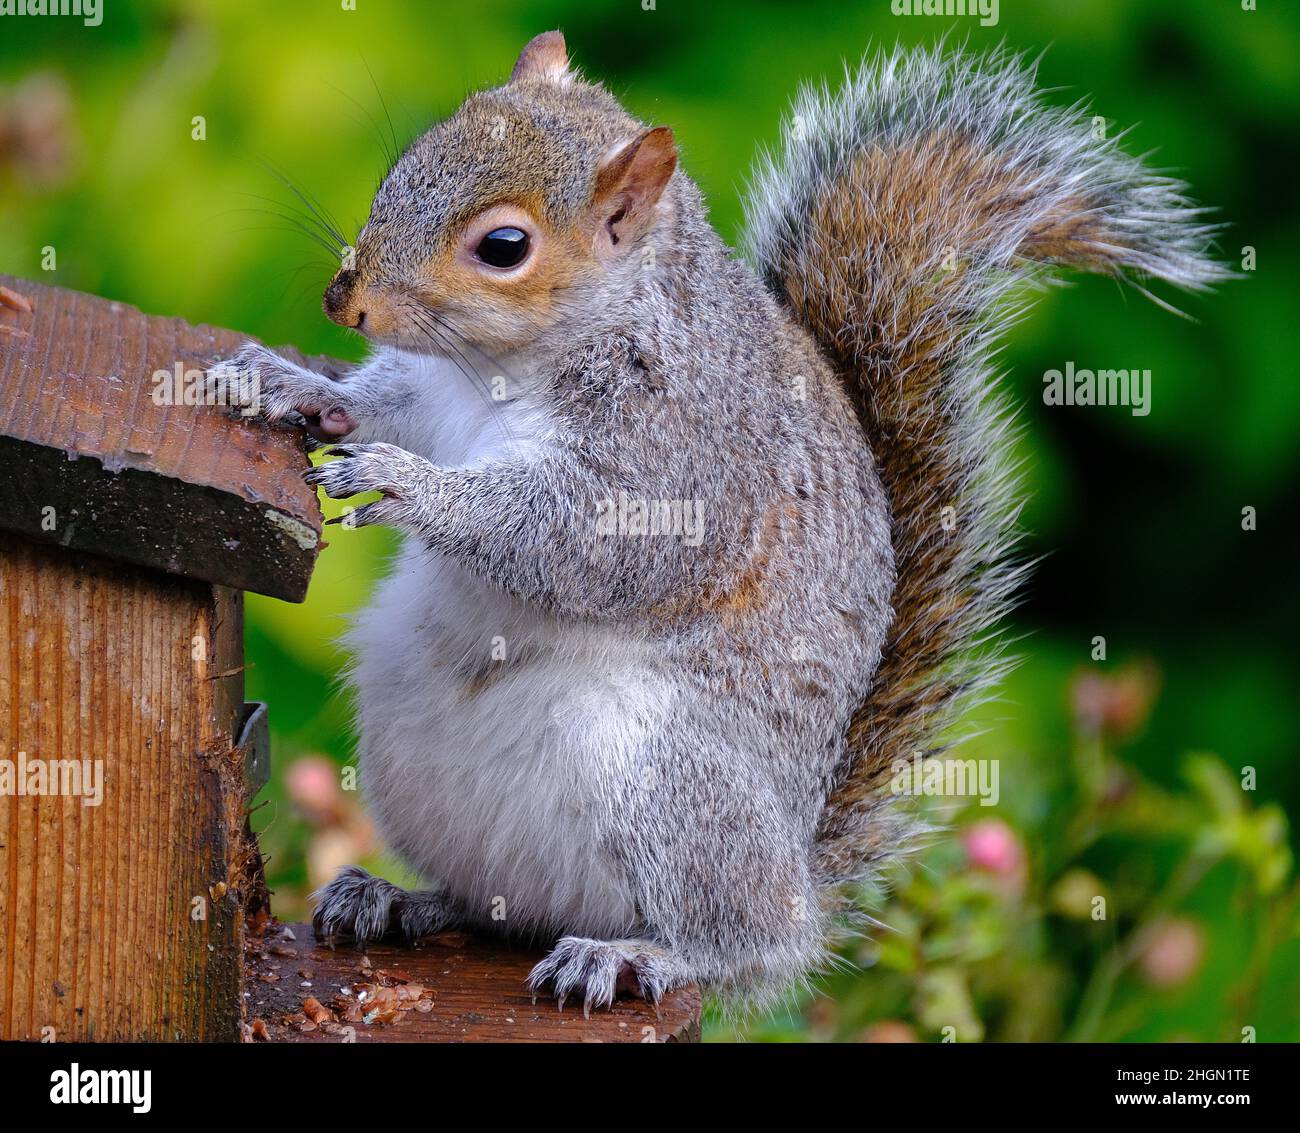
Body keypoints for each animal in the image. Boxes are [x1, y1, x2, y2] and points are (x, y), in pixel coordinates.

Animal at [208, 33, 1222, 1008]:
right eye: (406, 165)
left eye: (503, 245)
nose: (344, 300)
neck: (504, 366)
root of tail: (801, 872)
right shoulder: (433, 393)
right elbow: (381, 401)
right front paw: (289, 383)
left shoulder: (678, 458)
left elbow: (575, 541)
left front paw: (408, 484)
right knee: (495, 903)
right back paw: (400, 898)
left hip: (671, 781)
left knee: (743, 947)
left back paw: (633, 955)